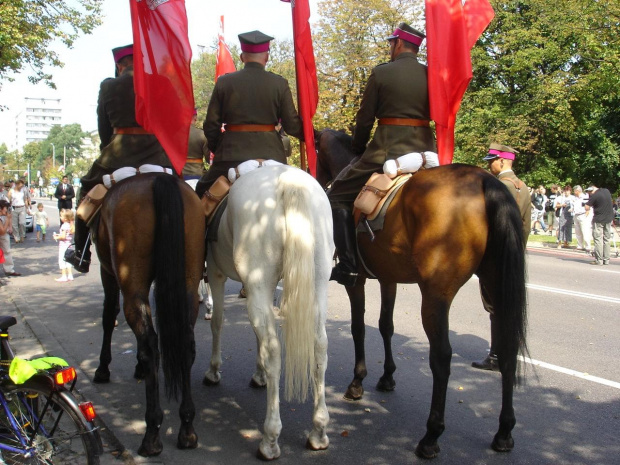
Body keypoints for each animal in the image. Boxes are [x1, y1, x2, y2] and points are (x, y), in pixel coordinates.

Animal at [91, 174, 203, 456]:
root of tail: (158, 178)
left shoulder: (107, 273)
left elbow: (108, 316)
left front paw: (103, 369)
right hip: (188, 283)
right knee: (185, 343)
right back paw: (187, 427)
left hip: (132, 284)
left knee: (150, 344)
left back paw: (152, 433)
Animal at [203, 164, 334, 460]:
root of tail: (288, 181)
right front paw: (259, 375)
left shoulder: (216, 274)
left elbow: (218, 322)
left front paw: (214, 370)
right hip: (318, 283)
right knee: (319, 346)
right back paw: (318, 430)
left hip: (258, 283)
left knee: (274, 350)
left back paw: (270, 438)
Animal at [320, 129, 528, 458]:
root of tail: (487, 181)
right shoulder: (388, 279)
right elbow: (386, 326)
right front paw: (387, 376)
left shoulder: (357, 280)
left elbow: (358, 328)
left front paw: (357, 381)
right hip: (496, 285)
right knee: (508, 349)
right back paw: (504, 432)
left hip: (435, 296)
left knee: (441, 356)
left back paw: (431, 436)